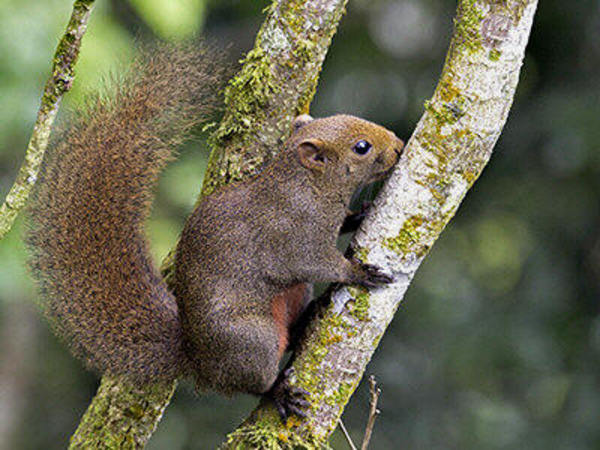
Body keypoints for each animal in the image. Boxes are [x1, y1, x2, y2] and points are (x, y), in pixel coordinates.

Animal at [27, 42, 404, 418]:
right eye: (361, 147)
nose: (400, 146)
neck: (306, 186)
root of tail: (199, 361)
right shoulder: (291, 236)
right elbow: (318, 263)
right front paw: (359, 272)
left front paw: (360, 214)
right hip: (251, 340)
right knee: (253, 382)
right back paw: (277, 392)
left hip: (294, 296)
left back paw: (306, 320)